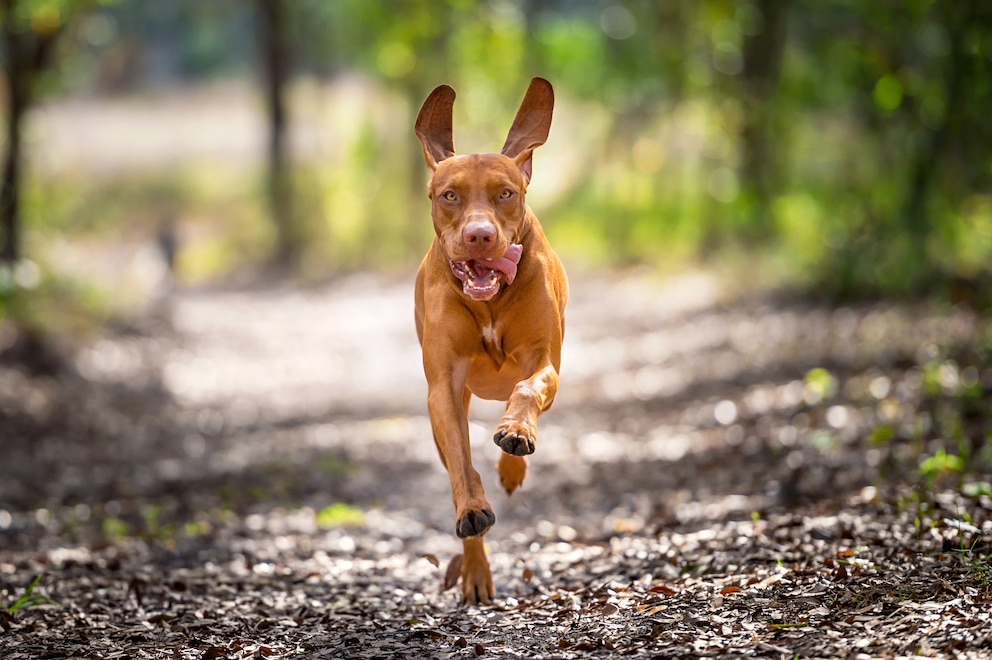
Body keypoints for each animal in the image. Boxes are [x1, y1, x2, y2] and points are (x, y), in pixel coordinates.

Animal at [410, 77, 564, 604]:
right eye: (449, 195)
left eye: (505, 193)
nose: (479, 236)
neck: (490, 301)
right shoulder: (443, 388)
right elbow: (462, 461)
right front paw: (472, 509)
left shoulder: (545, 360)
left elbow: (528, 388)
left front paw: (517, 433)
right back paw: (474, 570)